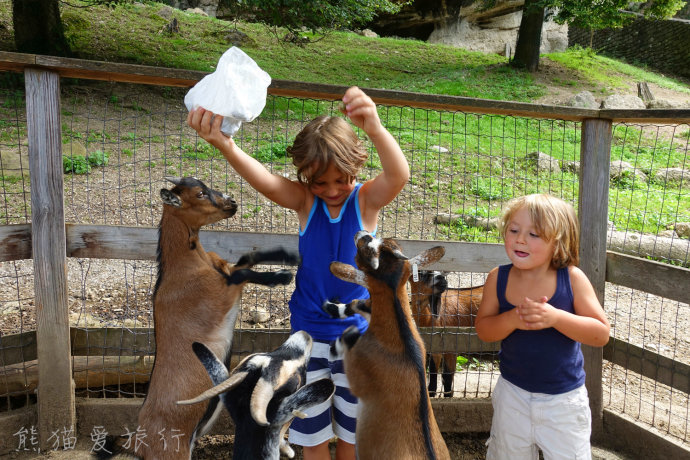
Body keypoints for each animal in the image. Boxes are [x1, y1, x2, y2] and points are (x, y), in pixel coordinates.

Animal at [100, 174, 298, 458]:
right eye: (200, 194)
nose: (232, 202)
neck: (187, 266)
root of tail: (138, 441)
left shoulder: (223, 268)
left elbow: (247, 257)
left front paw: (287, 254)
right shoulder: (219, 295)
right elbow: (241, 273)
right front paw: (281, 277)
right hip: (174, 450)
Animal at [322, 232, 452, 458]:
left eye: (367, 247)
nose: (360, 233)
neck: (403, 341)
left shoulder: (358, 374)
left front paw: (335, 345)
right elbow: (358, 304)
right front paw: (334, 307)